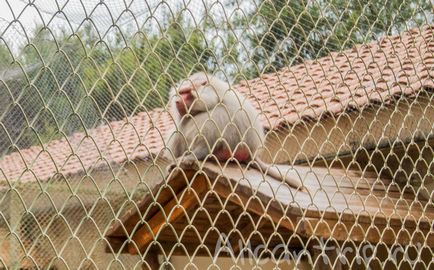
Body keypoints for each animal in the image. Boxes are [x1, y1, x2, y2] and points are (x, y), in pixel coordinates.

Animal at [166, 71, 306, 190]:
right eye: (180, 92)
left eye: (185, 92)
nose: (177, 101)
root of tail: (251, 154)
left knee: (213, 119)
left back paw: (192, 156)